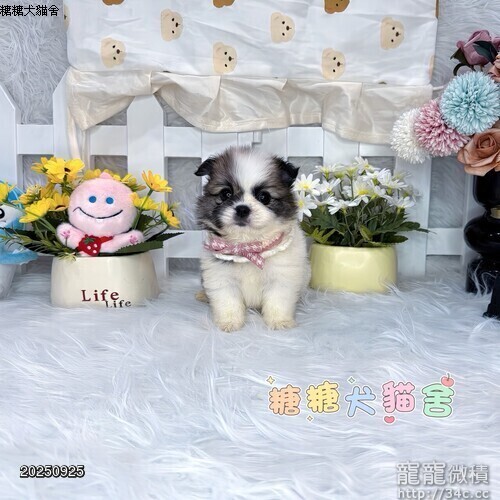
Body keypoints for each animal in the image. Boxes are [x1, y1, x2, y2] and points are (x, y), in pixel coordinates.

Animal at [195, 146, 310, 332]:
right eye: (226, 194)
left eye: (264, 197)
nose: (242, 209)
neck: (248, 246)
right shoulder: (221, 278)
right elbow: (228, 303)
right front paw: (229, 322)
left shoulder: (281, 278)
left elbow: (278, 302)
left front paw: (279, 322)